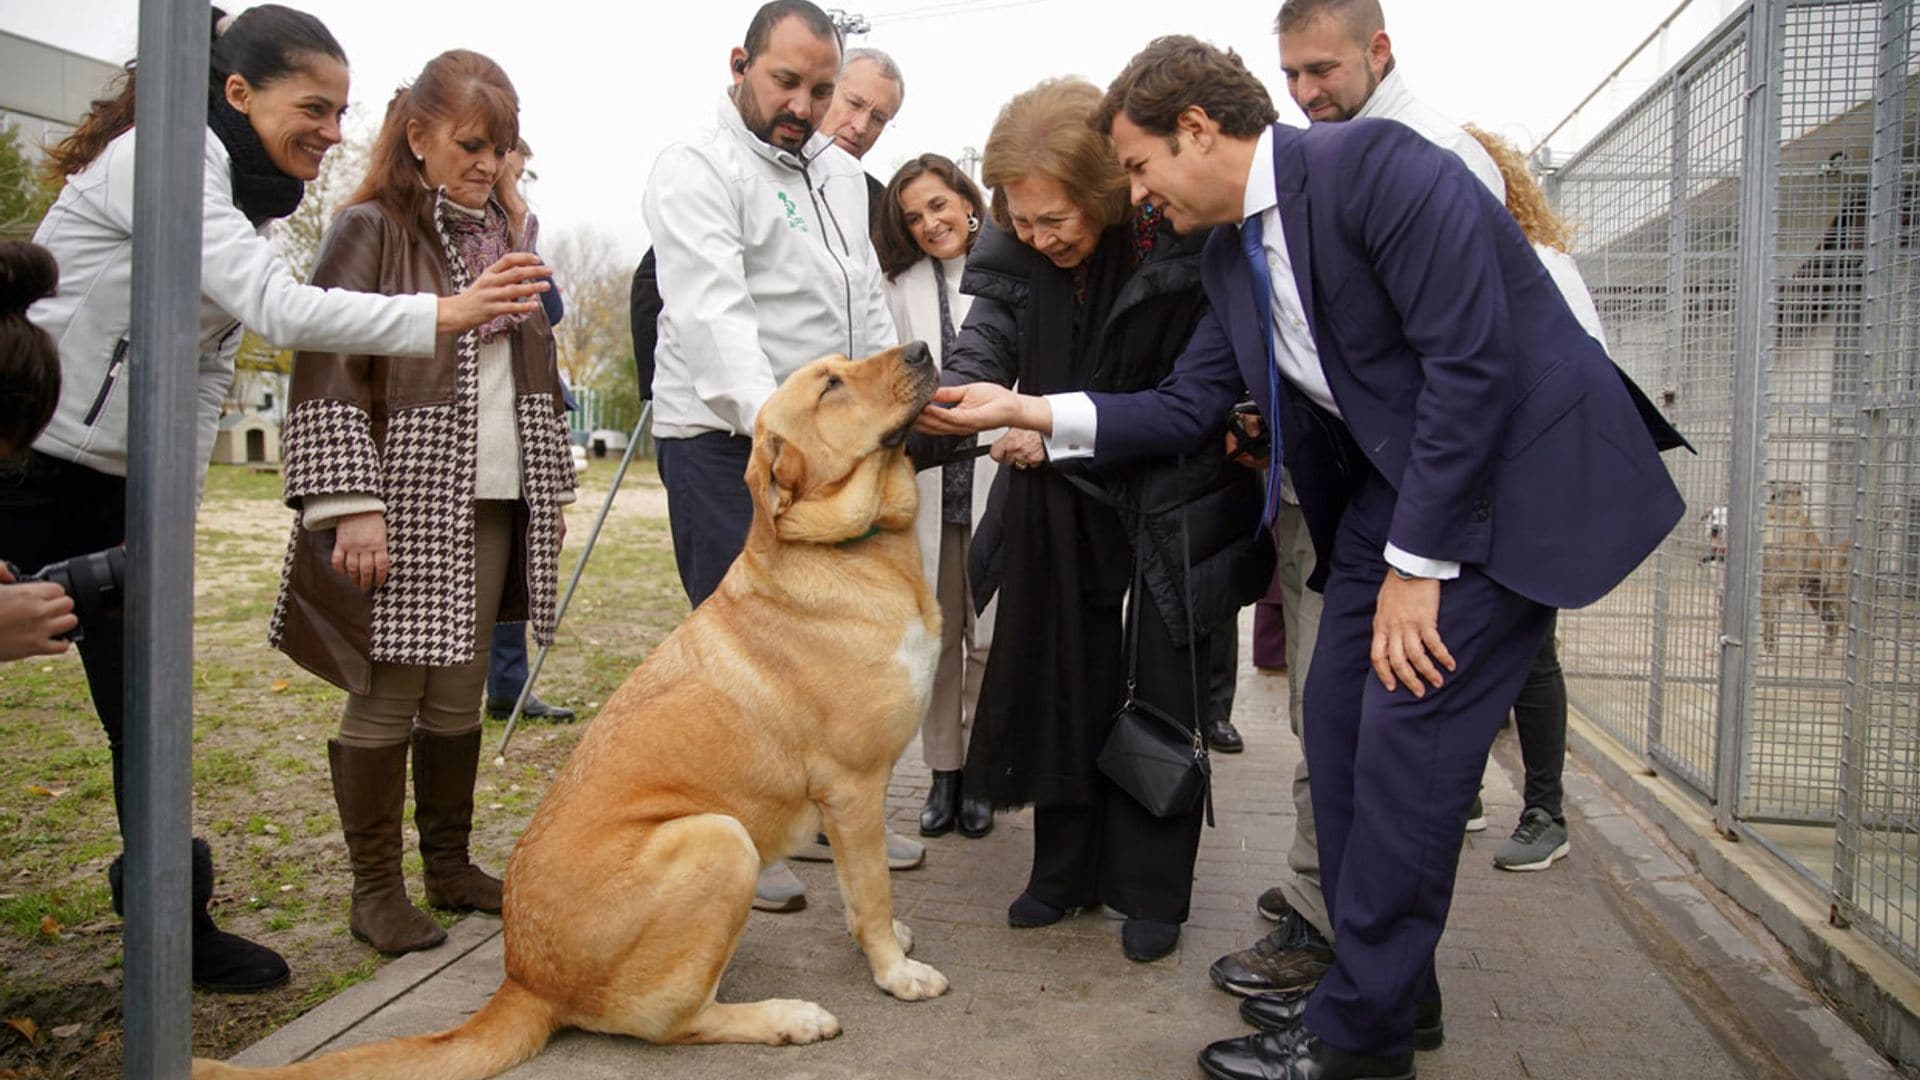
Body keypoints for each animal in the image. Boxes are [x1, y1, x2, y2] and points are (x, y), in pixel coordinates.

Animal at [194, 342, 944, 1076]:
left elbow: (856, 887)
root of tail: (526, 981)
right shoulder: (852, 786)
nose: (921, 349)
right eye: (829, 387)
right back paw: (788, 1017)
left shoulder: (849, 804)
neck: (854, 550)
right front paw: (893, 971)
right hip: (719, 838)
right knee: (673, 1022)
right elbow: (872, 893)